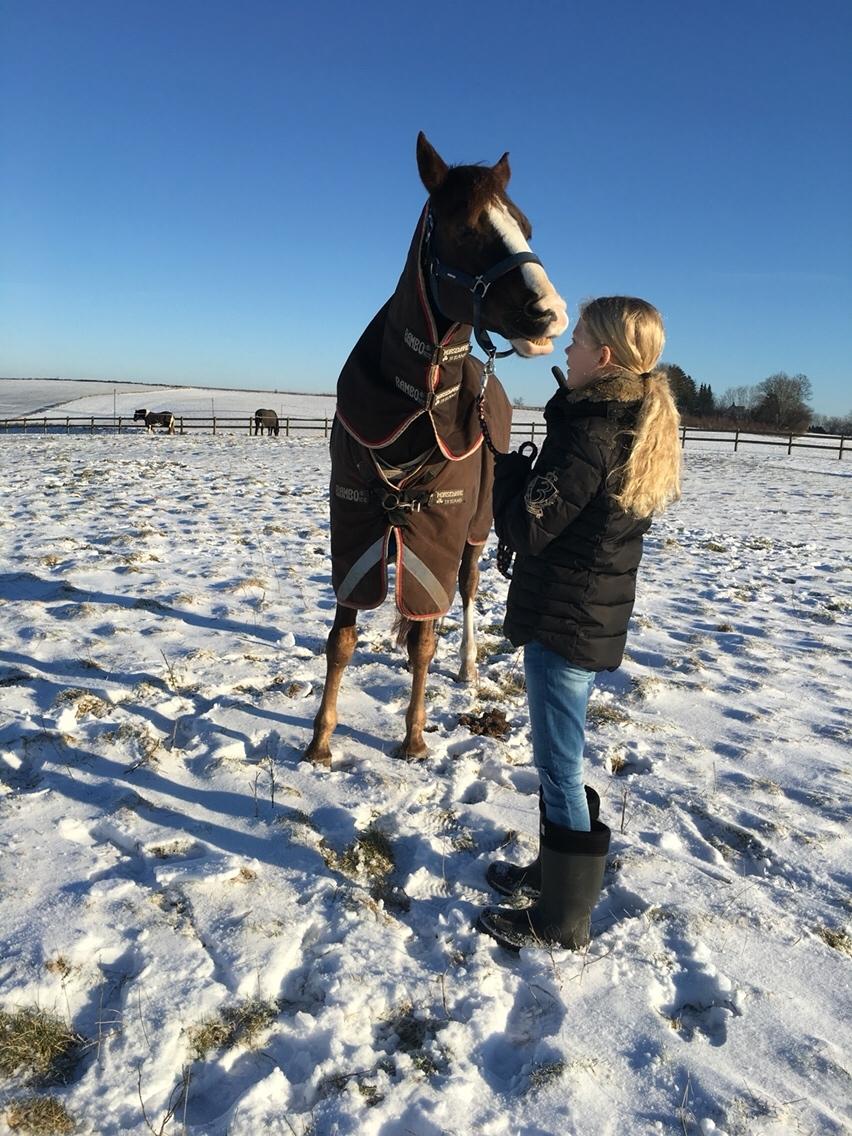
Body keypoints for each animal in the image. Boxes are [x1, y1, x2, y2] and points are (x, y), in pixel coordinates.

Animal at [304, 135, 570, 772]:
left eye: (525, 225)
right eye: (466, 228)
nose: (551, 314)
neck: (415, 408)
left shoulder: (438, 535)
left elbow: (426, 637)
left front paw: (413, 737)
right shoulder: (355, 533)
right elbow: (341, 639)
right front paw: (320, 742)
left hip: (473, 532)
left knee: (465, 594)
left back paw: (467, 664)